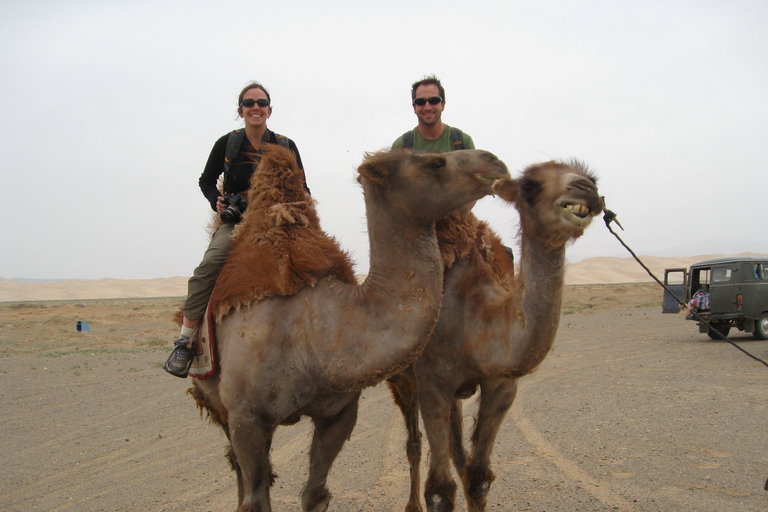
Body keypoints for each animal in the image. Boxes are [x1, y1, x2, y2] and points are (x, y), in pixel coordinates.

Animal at [190, 145, 510, 512]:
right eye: (436, 163)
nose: (495, 162)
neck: (314, 332)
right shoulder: (247, 418)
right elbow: (255, 499)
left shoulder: (338, 414)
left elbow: (314, 494)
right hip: (216, 402)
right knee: (238, 466)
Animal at [388, 160, 604, 512]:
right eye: (529, 185)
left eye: (592, 179)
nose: (586, 189)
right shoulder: (433, 384)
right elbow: (440, 490)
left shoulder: (501, 385)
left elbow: (478, 478)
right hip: (401, 380)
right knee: (414, 444)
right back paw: (411, 506)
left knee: (457, 451)